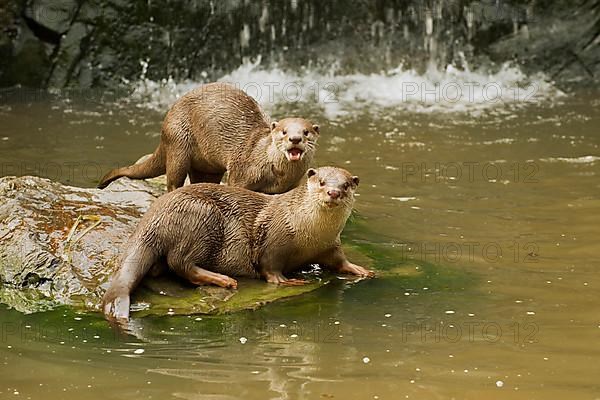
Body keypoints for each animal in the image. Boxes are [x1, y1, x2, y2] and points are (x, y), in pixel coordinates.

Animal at [98, 82, 322, 193]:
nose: (295, 139)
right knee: (174, 179)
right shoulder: (242, 174)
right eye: (283, 132)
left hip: (207, 166)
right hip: (178, 141)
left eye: (305, 132)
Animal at [103, 166, 376, 322]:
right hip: (202, 216)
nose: (333, 192)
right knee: (180, 262)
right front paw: (286, 280)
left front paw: (359, 269)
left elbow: (339, 260)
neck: (310, 232)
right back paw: (223, 280)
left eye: (345, 185)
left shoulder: (331, 244)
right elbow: (270, 267)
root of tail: (154, 214)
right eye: (321, 182)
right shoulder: (274, 240)